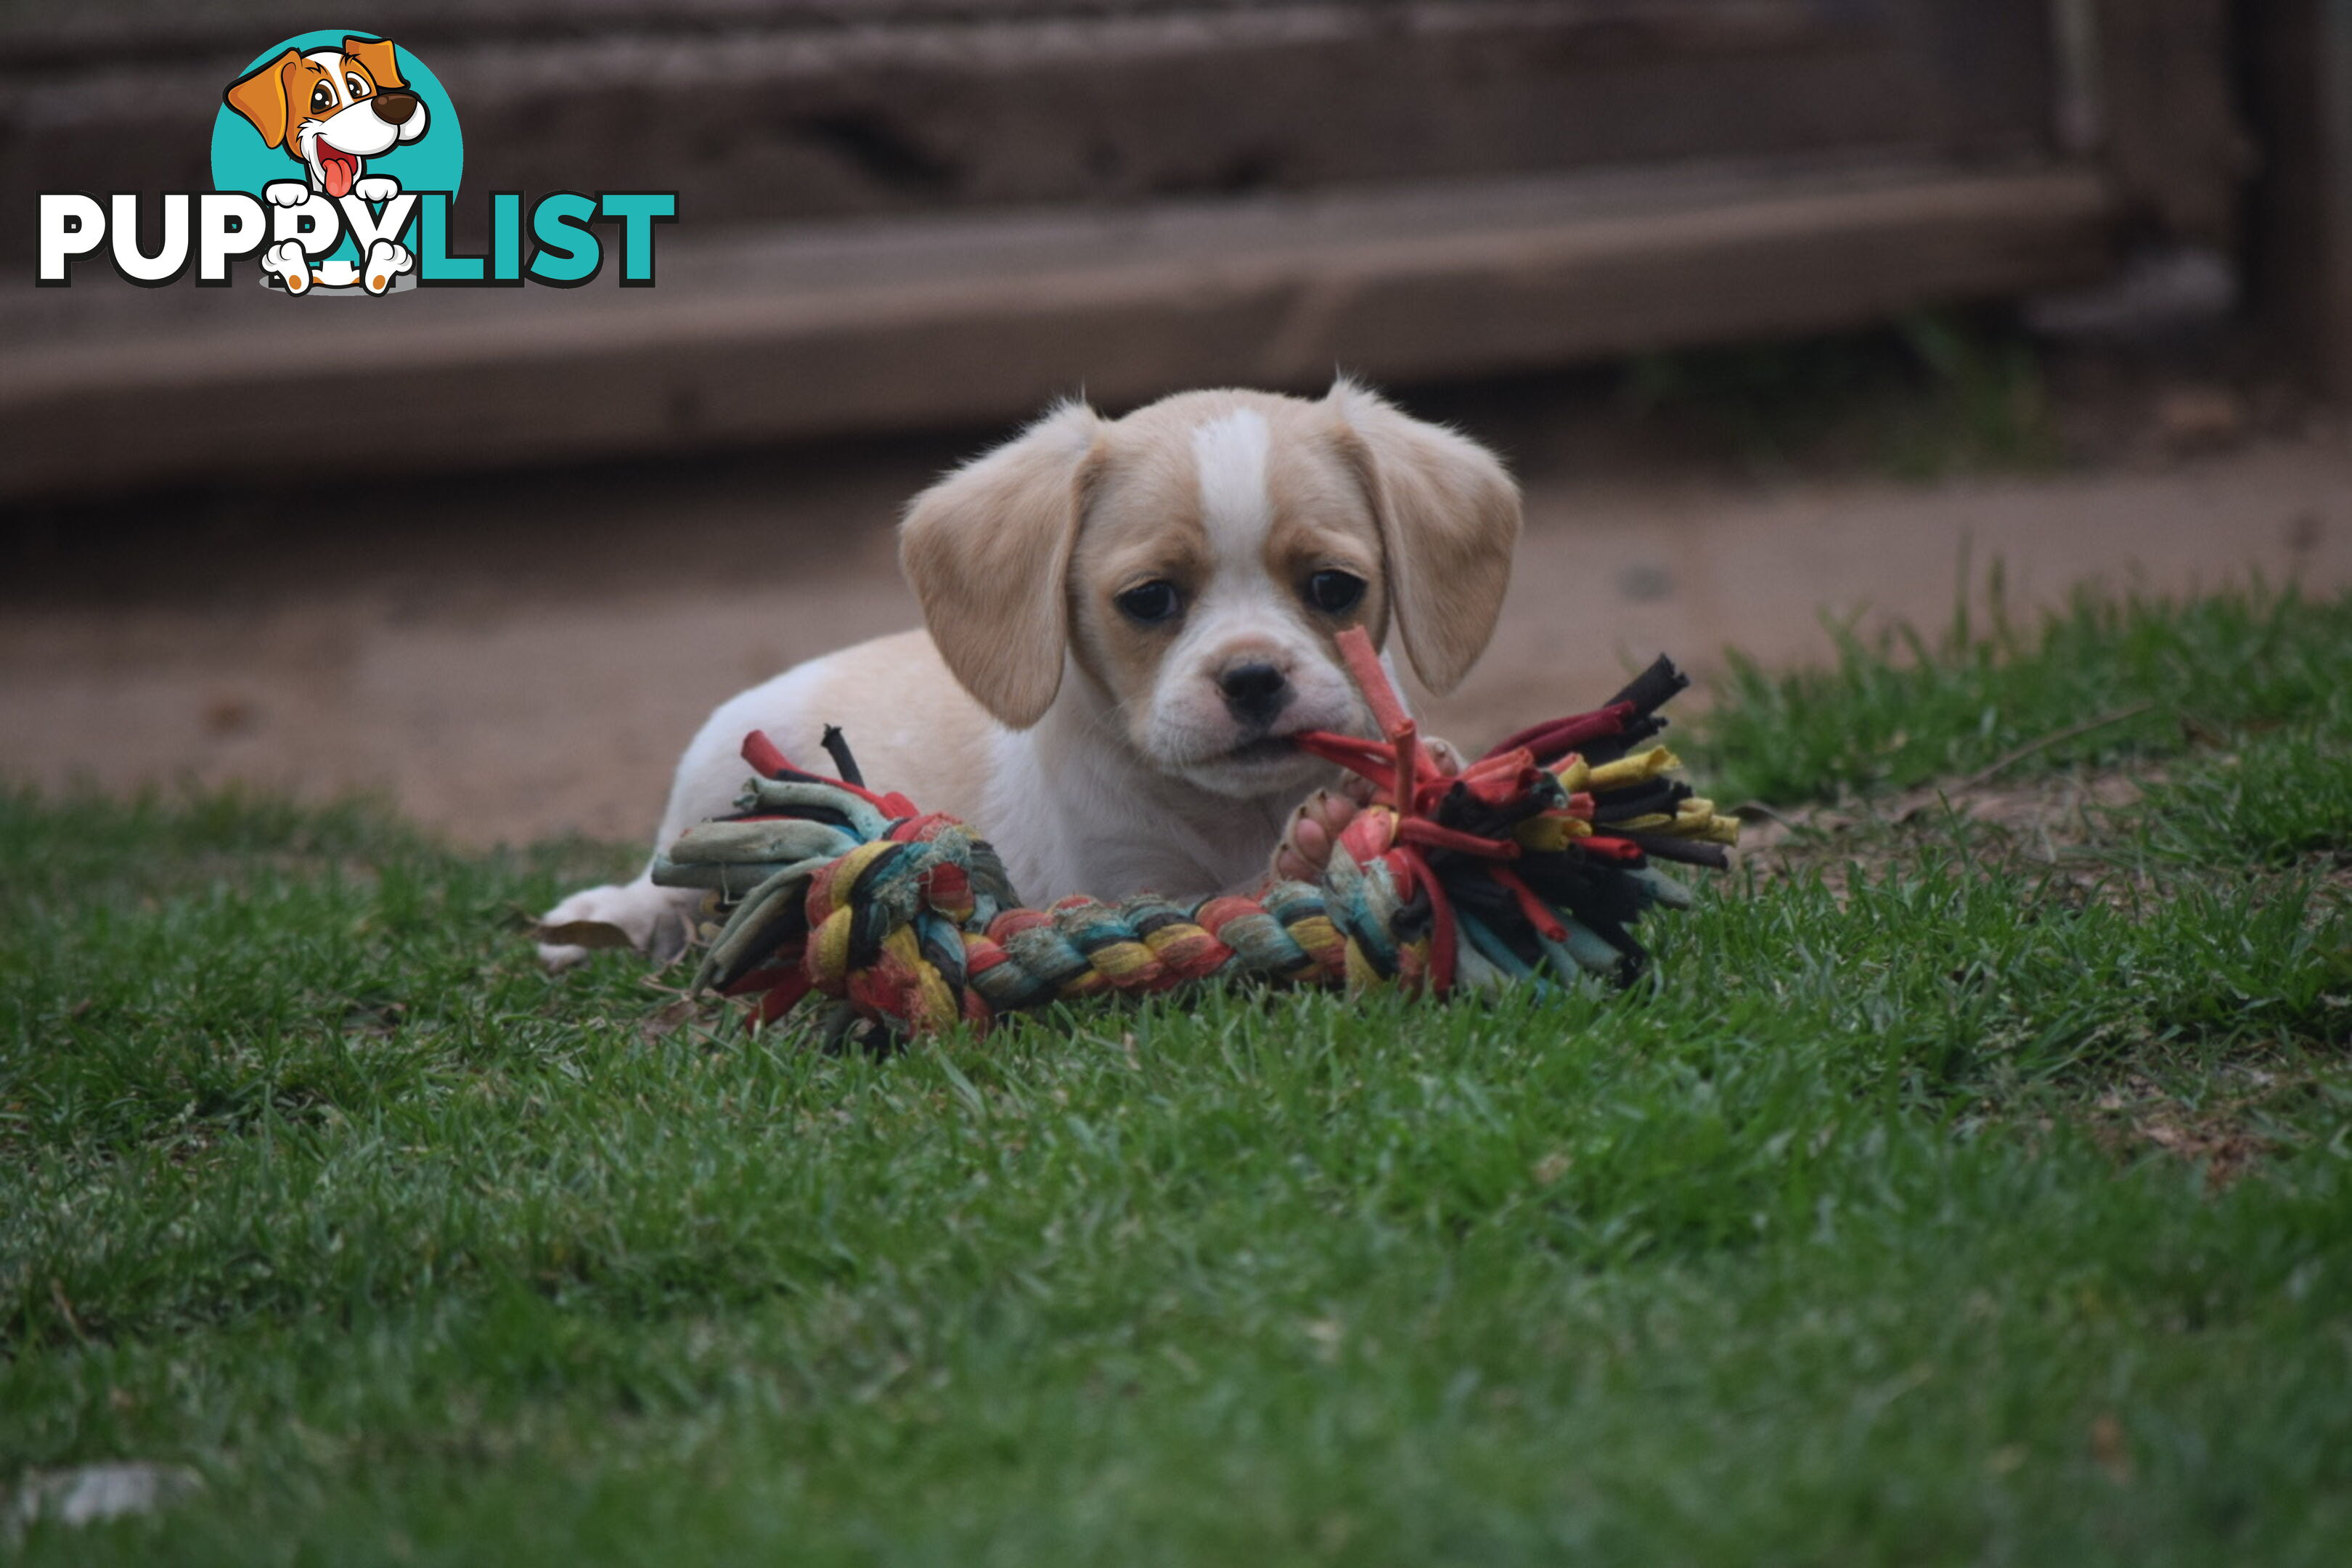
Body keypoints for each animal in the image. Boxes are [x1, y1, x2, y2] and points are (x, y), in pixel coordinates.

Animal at [538, 380, 1524, 968]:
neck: (1230, 815)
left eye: (1333, 588)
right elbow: (1237, 894)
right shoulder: (1127, 885)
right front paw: (1318, 847)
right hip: (710, 783)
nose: (1252, 678)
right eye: (1150, 600)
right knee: (665, 875)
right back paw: (615, 919)